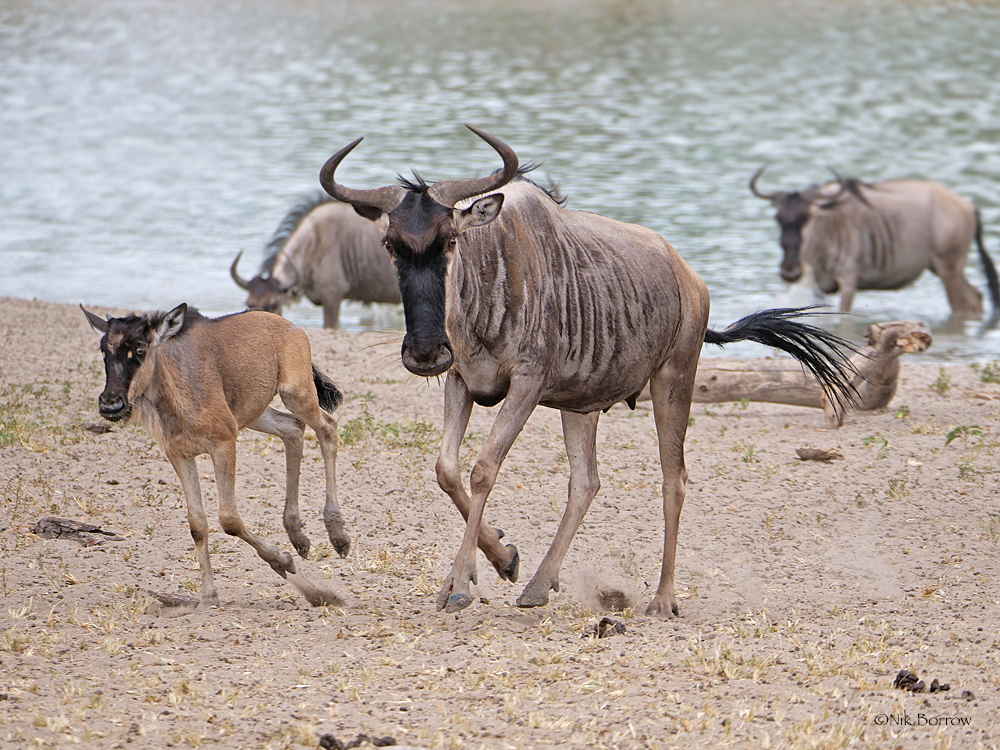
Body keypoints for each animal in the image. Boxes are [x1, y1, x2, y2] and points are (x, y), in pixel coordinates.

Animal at [82, 304, 348, 608]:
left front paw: (282, 561)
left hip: (296, 393)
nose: (110, 404)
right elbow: (197, 524)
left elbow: (229, 519)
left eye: (140, 349)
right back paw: (297, 535)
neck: (173, 392)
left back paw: (338, 535)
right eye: (104, 350)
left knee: (327, 428)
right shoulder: (180, 454)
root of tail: (290, 326)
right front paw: (208, 595)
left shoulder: (223, 443)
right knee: (292, 429)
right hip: (253, 414)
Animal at [320, 125, 855, 616]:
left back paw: (663, 599)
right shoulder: (461, 381)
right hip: (581, 405)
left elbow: (483, 469)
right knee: (586, 482)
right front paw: (498, 559)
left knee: (673, 478)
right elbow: (447, 469)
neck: (487, 281)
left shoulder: (526, 385)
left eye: (450, 240)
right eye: (390, 245)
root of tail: (691, 279)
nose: (425, 352)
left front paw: (460, 584)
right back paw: (538, 585)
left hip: (674, 379)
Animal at [750, 168, 1000, 315]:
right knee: (975, 297)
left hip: (949, 269)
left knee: (963, 304)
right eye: (778, 218)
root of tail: (968, 206)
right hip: (943, 268)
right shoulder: (819, 286)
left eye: (808, 217)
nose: (790, 271)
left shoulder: (849, 281)